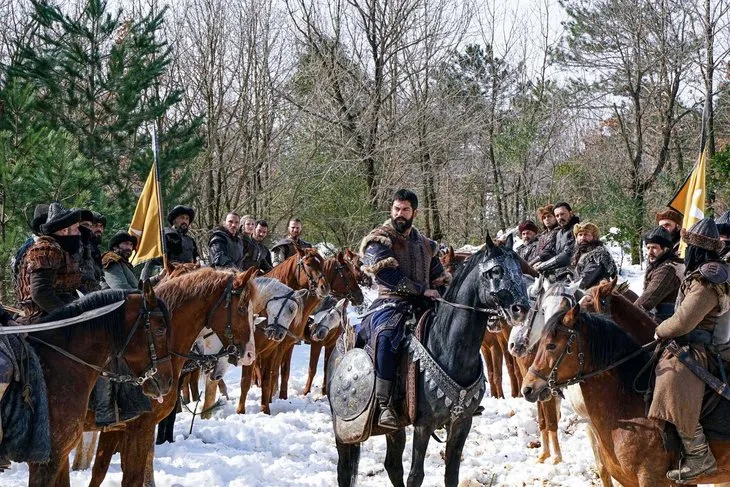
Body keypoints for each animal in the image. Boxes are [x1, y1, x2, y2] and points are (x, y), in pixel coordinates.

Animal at [236, 250, 328, 414]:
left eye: (323, 263)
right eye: (308, 264)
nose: (324, 287)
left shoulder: (277, 348)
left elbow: (272, 376)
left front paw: (266, 408)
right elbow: (247, 381)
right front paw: (241, 412)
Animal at [328, 234, 528, 486]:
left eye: (518, 270)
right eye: (495, 271)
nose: (521, 308)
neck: (449, 347)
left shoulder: (462, 422)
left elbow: (451, 474)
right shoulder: (424, 425)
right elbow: (416, 476)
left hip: (395, 427)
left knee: (392, 466)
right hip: (342, 431)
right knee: (344, 470)